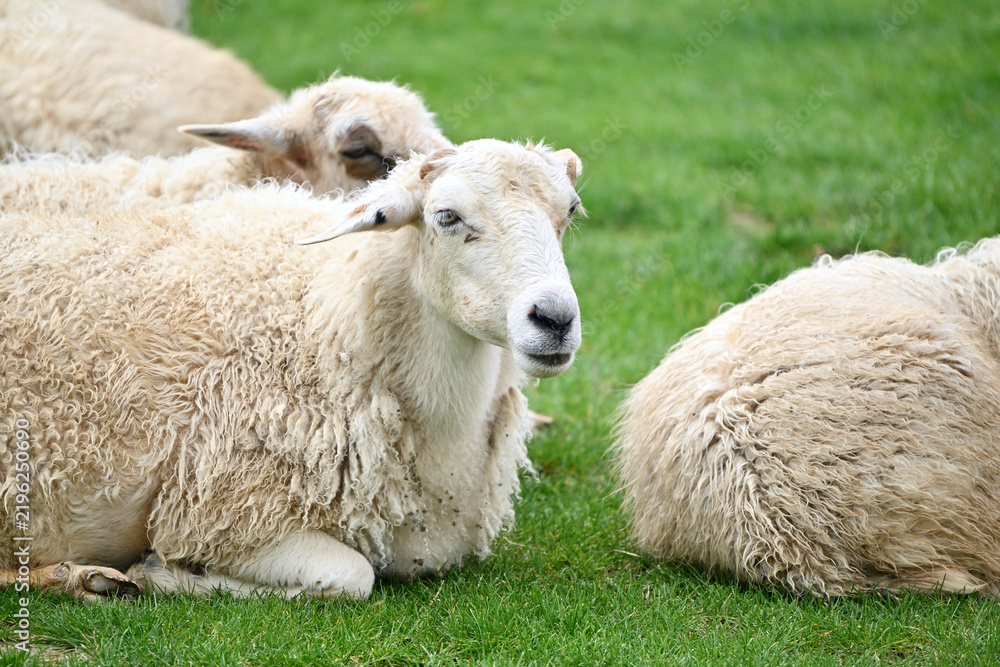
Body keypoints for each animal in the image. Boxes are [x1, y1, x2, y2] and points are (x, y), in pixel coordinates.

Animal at [0, 139, 585, 601]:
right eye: (447, 216)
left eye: (570, 212)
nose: (555, 319)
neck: (322, 318)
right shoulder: (221, 516)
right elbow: (349, 576)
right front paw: (164, 574)